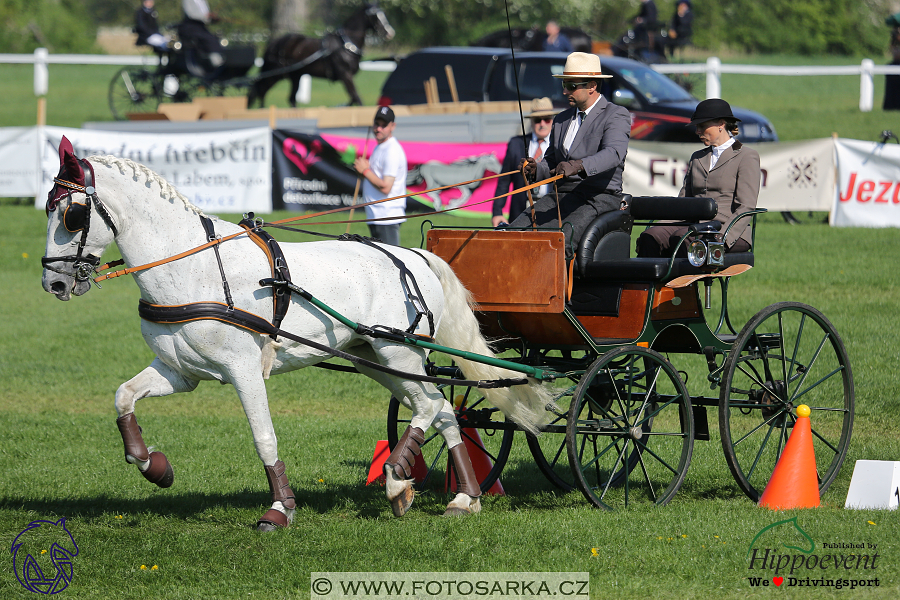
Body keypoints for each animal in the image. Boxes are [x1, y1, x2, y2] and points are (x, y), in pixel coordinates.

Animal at [40, 137, 556, 528]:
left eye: (71, 214)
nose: (54, 283)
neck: (194, 267)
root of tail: (414, 256)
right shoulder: (179, 371)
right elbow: (123, 397)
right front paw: (155, 468)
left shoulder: (243, 370)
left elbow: (263, 437)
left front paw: (279, 509)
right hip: (377, 359)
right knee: (445, 409)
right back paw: (463, 497)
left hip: (399, 353)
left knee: (430, 407)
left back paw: (396, 478)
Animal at [248, 3, 392, 108]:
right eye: (374, 15)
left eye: (383, 13)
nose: (390, 32)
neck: (345, 43)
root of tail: (274, 43)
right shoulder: (345, 75)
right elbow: (357, 97)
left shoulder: (347, 77)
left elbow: (353, 98)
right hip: (275, 74)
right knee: (259, 91)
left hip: (295, 76)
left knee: (288, 98)